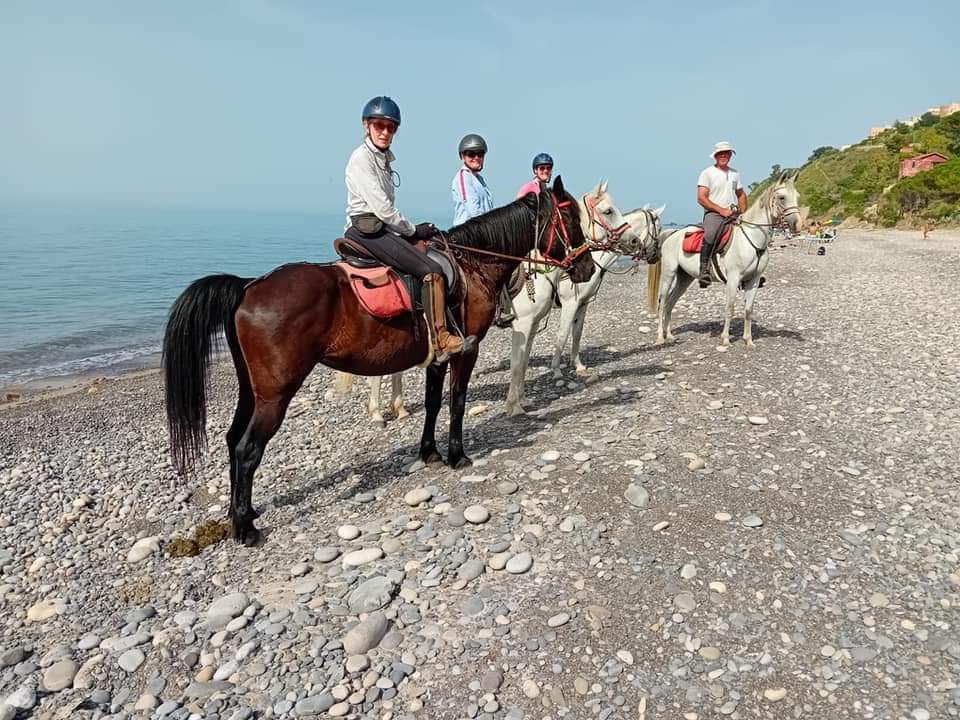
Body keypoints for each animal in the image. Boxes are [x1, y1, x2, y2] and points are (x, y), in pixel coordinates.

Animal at [162, 177, 594, 545]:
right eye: (572, 218)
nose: (587, 267)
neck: (473, 265)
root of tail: (249, 286)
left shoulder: (439, 355)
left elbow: (433, 403)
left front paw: (430, 453)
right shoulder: (466, 351)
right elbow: (456, 402)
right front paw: (457, 455)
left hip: (252, 391)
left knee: (233, 439)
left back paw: (246, 513)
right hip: (275, 395)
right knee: (247, 449)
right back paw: (244, 529)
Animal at [503, 183, 661, 415]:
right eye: (608, 211)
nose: (655, 254)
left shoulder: (582, 305)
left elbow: (576, 334)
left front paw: (578, 366)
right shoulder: (568, 304)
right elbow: (562, 336)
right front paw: (556, 371)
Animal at [646, 170, 802, 346]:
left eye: (797, 196)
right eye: (782, 197)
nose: (797, 224)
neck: (752, 239)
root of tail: (672, 234)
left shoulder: (754, 280)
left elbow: (748, 310)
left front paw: (748, 340)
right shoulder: (733, 278)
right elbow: (730, 307)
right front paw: (725, 339)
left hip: (684, 278)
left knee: (670, 303)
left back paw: (670, 335)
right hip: (669, 274)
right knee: (663, 302)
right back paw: (660, 337)